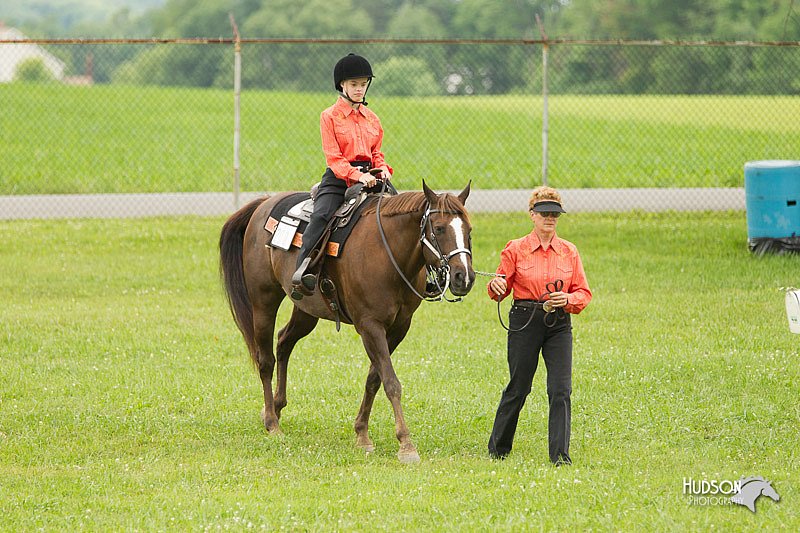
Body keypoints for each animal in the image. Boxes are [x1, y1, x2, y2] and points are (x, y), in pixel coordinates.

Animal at [219, 181, 476, 460]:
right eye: (439, 228)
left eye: (469, 230)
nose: (464, 277)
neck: (385, 252)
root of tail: (264, 203)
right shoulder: (370, 326)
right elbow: (391, 382)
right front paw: (406, 444)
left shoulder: (399, 327)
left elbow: (375, 379)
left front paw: (362, 433)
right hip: (263, 301)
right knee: (265, 360)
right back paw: (271, 423)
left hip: (306, 310)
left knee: (284, 341)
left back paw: (276, 407)